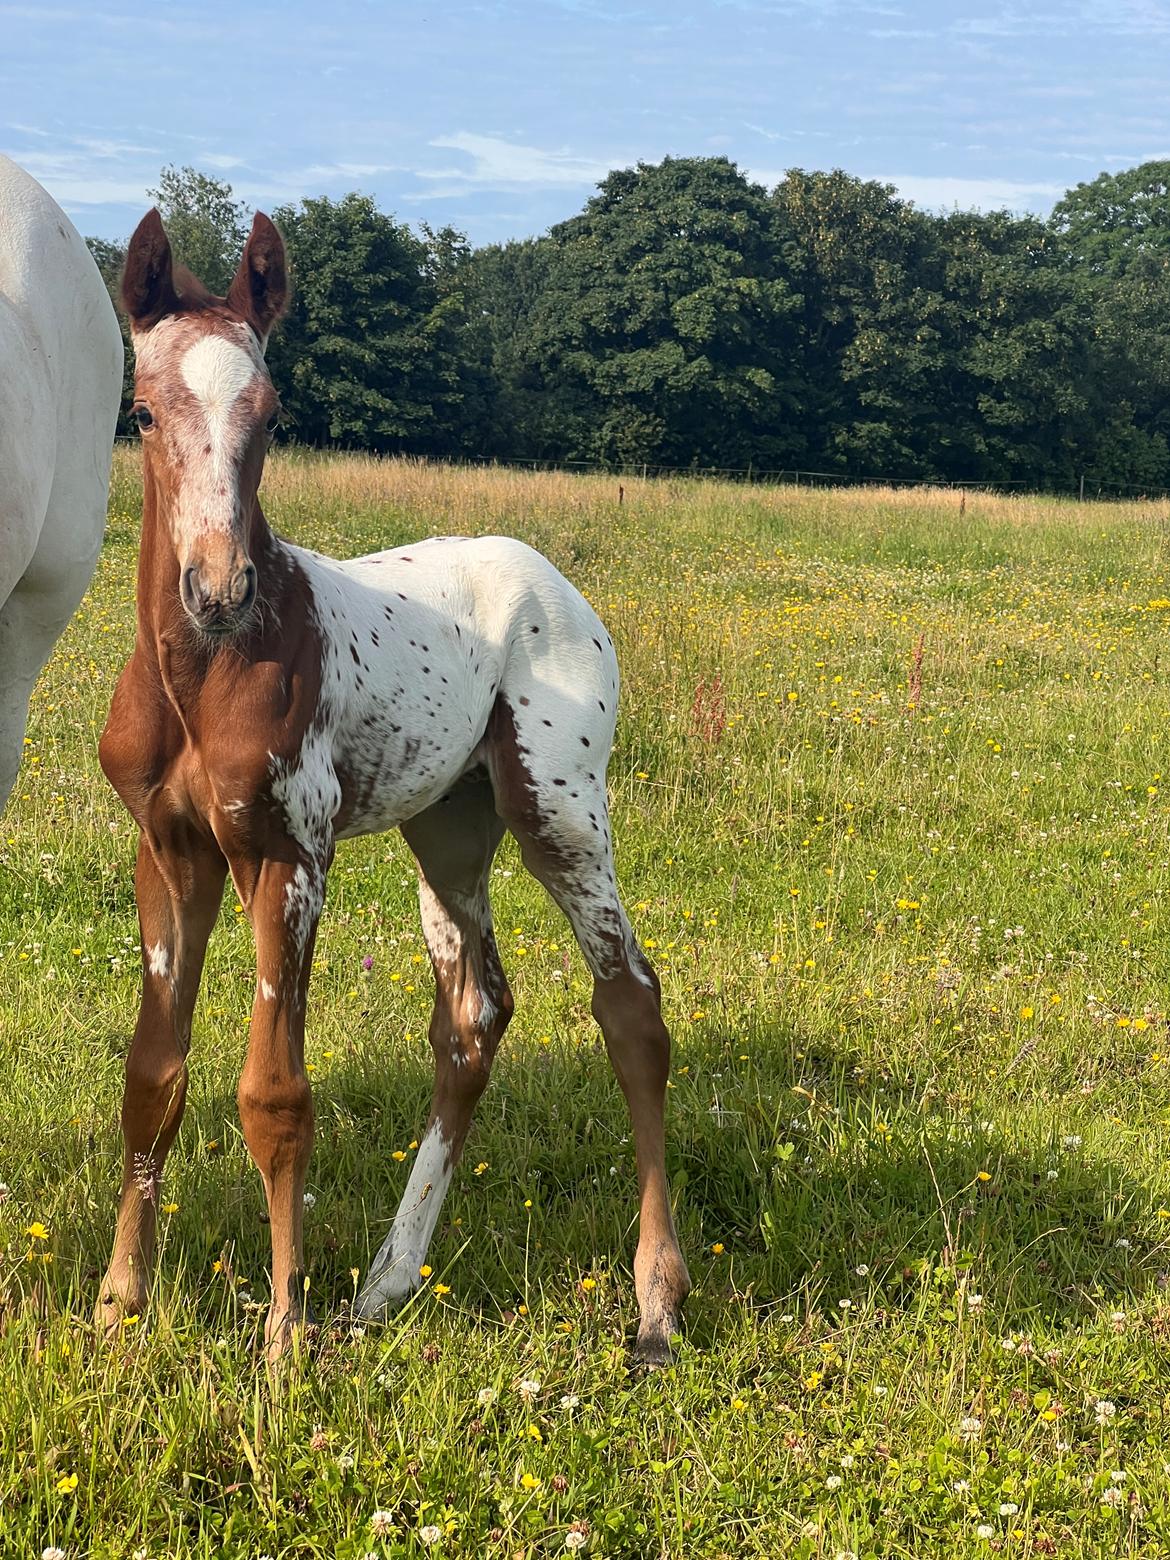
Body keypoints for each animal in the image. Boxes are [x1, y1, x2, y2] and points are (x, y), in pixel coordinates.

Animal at [100, 210, 692, 1366]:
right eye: (142, 411)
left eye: (273, 416)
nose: (218, 588)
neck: (204, 675)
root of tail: (552, 579)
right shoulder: (170, 853)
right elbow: (153, 1077)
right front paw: (116, 1307)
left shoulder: (288, 855)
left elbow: (274, 1094)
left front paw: (282, 1338)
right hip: (449, 829)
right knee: (474, 1017)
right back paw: (385, 1282)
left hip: (559, 808)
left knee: (630, 1005)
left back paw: (654, 1303)